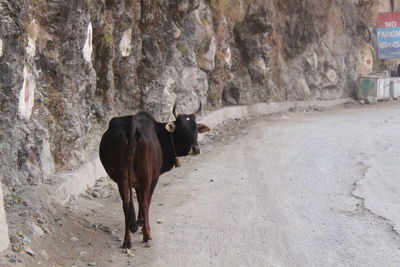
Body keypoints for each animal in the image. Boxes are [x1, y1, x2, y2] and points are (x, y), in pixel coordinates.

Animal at [99, 103, 209, 249]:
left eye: (196, 128)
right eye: (181, 128)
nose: (196, 149)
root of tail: (132, 124)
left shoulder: (135, 181)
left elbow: (138, 198)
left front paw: (138, 222)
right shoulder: (154, 177)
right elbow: (145, 200)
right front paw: (142, 226)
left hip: (122, 177)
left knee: (126, 204)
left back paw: (127, 241)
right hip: (146, 175)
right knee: (145, 202)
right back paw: (147, 235)